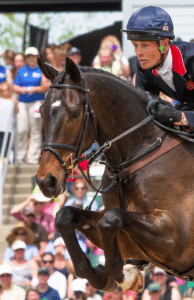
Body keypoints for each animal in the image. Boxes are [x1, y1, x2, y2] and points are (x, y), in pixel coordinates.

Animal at [36, 57, 194, 292]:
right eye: (42, 111)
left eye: (75, 114)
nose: (46, 181)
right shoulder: (127, 239)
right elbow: (65, 216)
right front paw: (98, 275)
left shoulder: (174, 240)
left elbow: (111, 219)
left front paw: (121, 274)